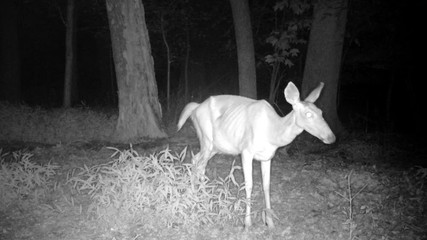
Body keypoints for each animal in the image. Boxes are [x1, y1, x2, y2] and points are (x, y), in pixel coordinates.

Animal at [176, 81, 336, 228]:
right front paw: (247, 223)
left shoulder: (268, 156)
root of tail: (196, 107)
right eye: (308, 114)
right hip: (206, 139)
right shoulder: (246, 151)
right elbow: (249, 185)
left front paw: (269, 222)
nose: (332, 137)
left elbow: (266, 185)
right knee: (198, 162)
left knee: (197, 161)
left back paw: (202, 197)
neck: (272, 133)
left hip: (215, 146)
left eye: (321, 112)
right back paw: (197, 199)